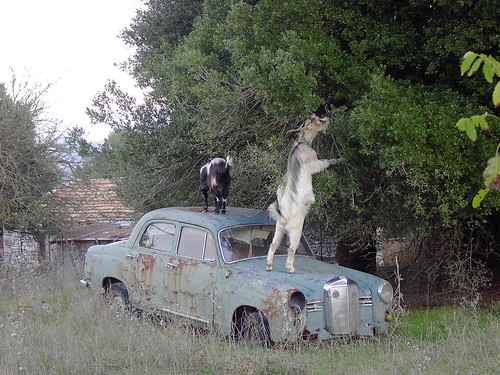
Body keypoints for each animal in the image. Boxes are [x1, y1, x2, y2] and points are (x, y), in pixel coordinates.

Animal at [266, 114, 340, 274]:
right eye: (318, 120)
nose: (327, 118)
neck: (302, 144)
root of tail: (283, 216)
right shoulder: (315, 163)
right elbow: (325, 162)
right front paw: (337, 159)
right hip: (296, 232)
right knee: (291, 249)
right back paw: (290, 268)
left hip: (278, 230)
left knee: (273, 245)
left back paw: (269, 266)